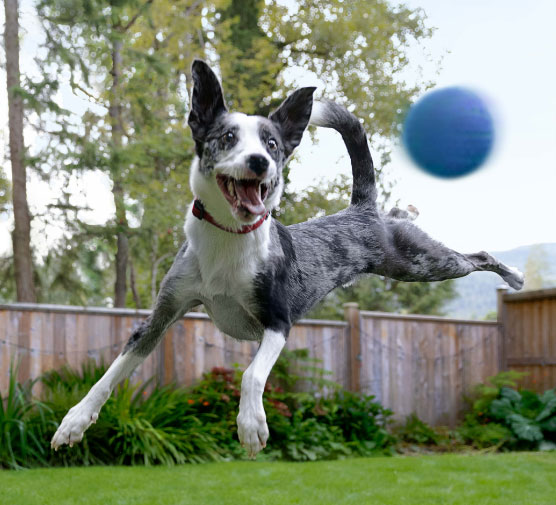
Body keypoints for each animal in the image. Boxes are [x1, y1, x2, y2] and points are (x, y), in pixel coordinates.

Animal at [50, 59, 524, 456]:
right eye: (227, 138)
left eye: (273, 144)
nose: (260, 162)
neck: (228, 239)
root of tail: (363, 209)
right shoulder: (162, 314)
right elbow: (112, 372)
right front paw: (74, 422)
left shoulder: (278, 322)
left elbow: (251, 375)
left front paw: (250, 427)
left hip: (420, 261)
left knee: (476, 256)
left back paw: (514, 274)